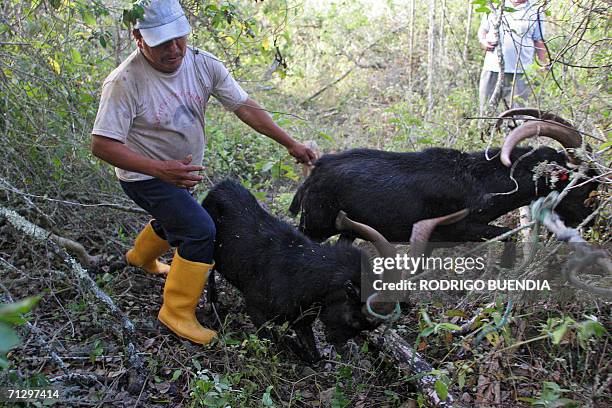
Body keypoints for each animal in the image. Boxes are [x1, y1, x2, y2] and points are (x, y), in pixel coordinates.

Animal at [201, 180, 392, 362]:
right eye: (355, 320)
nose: (337, 342)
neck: (303, 274)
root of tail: (219, 187)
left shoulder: (301, 320)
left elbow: (314, 357)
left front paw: (294, 345)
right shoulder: (255, 306)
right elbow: (270, 342)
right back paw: (213, 306)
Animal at [292, 108, 596, 247]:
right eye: (582, 185)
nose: (591, 221)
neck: (480, 181)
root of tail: (316, 171)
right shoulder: (459, 228)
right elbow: (505, 237)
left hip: (348, 229)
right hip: (315, 226)